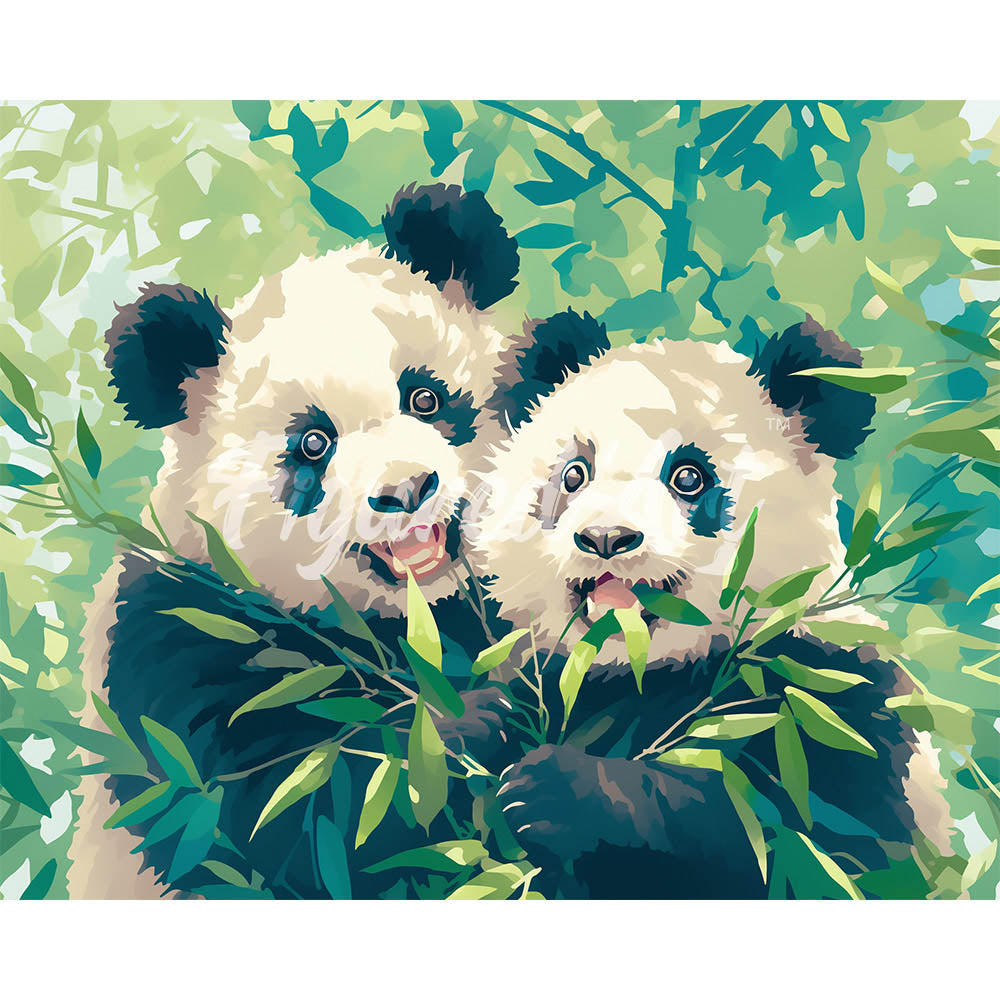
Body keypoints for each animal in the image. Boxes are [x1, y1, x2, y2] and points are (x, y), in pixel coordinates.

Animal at [67, 183, 521, 899]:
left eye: (424, 397)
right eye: (313, 442)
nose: (407, 489)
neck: (411, 620)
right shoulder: (180, 641)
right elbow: (302, 815)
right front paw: (476, 726)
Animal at [466, 309, 956, 899]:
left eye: (688, 476)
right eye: (574, 474)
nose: (606, 537)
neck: (642, 666)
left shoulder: (831, 701)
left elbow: (802, 847)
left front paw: (556, 791)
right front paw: (476, 723)